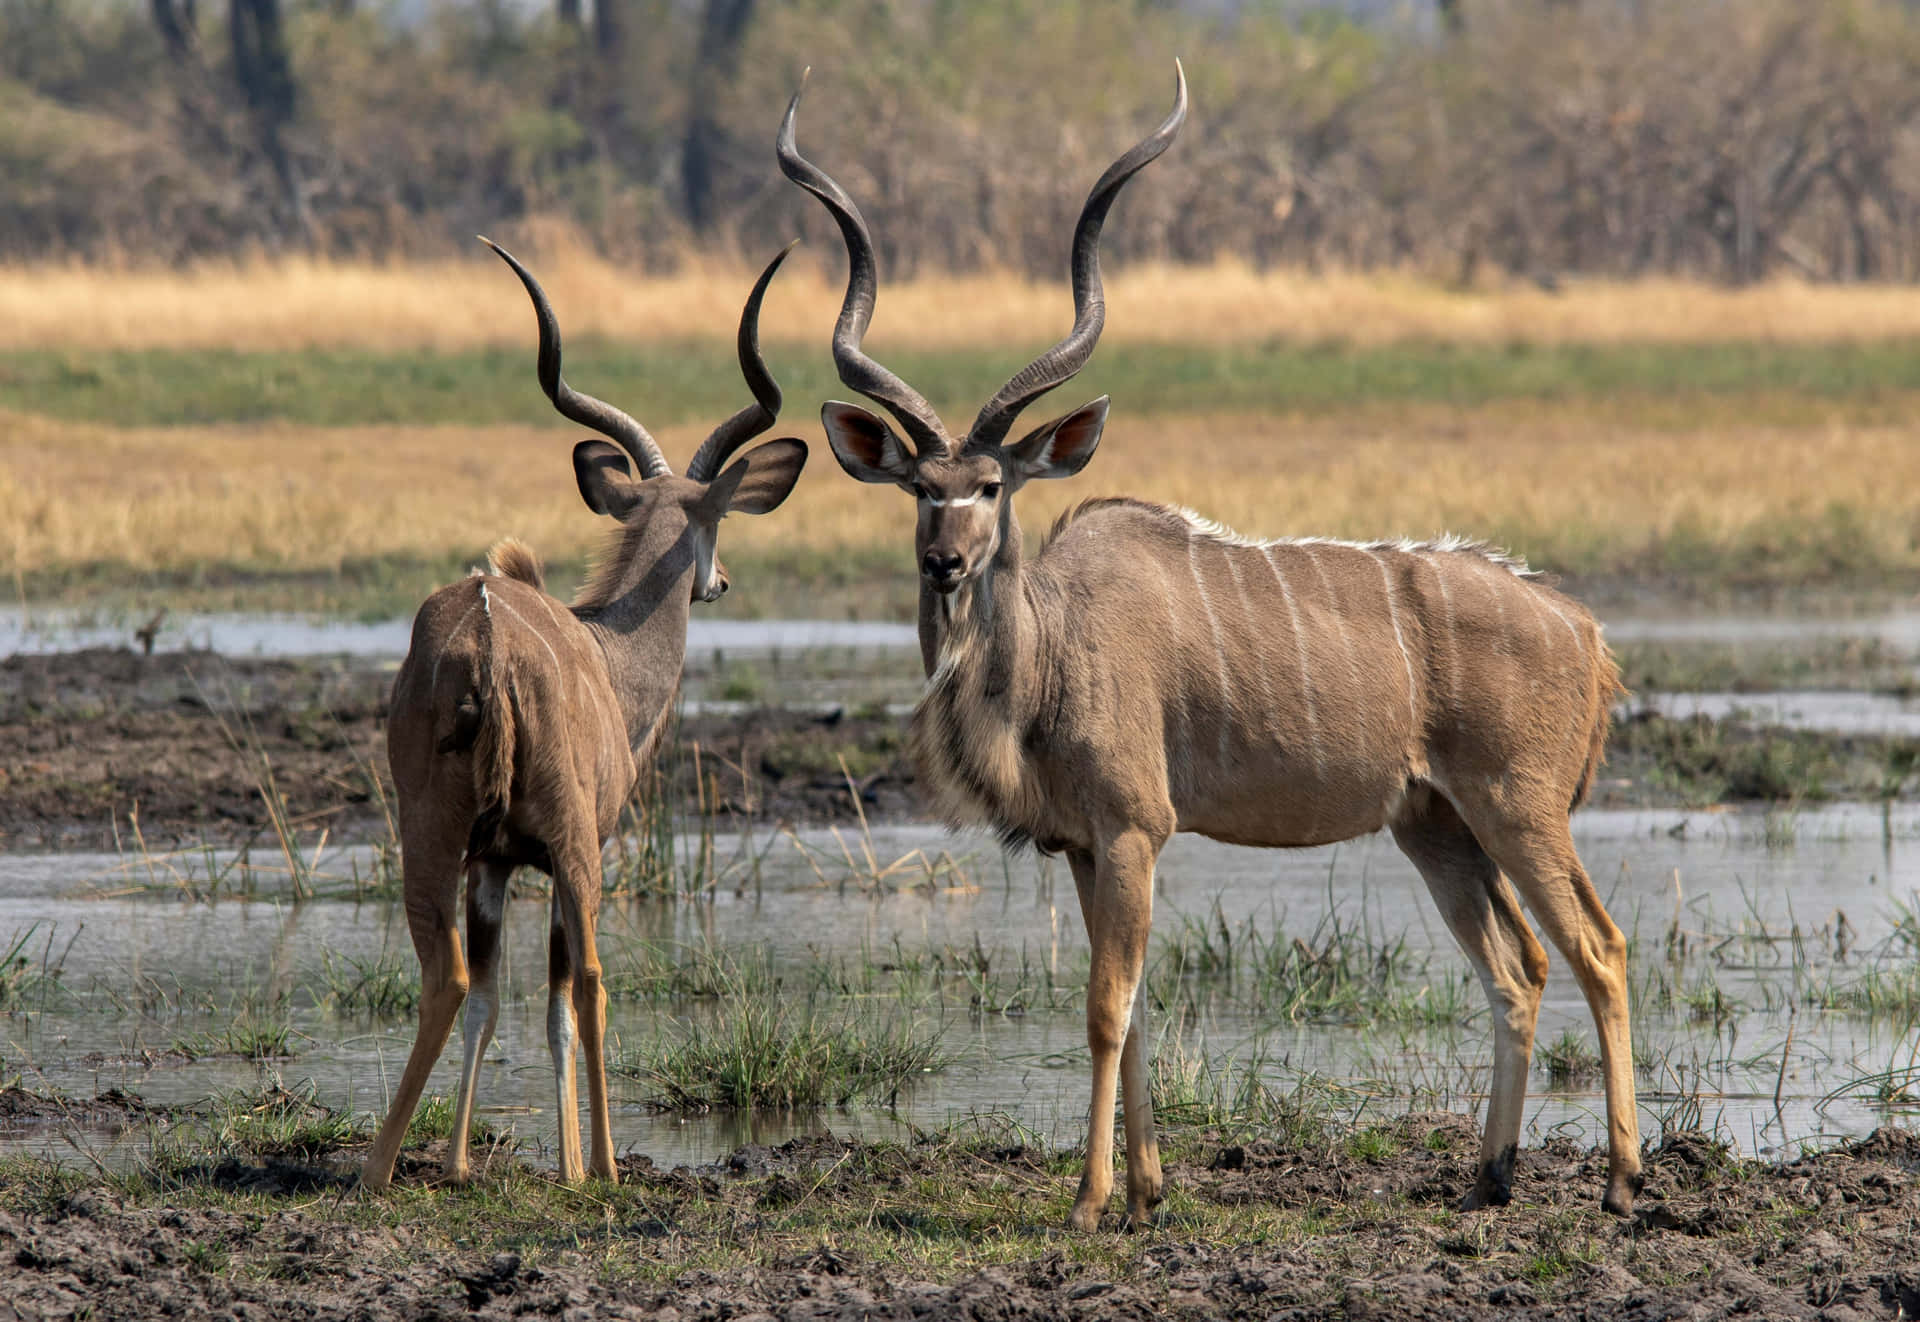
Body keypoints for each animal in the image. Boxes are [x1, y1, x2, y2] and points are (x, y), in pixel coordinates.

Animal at [359, 242, 802, 1189]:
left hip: (433, 838)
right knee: (587, 980)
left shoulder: (493, 865)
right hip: (570, 847)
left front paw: (464, 1162)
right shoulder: (575, 850)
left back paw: (384, 1165)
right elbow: (569, 996)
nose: (718, 580)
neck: (603, 650)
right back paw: (591, 1164)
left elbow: (497, 997)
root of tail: (487, 631)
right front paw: (576, 1165)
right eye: (714, 520)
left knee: (453, 980)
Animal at [771, 67, 1643, 1227]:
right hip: (1437, 825)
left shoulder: (1135, 829)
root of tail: (1582, 629)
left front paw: (1092, 1200)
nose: (946, 564)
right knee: (1521, 965)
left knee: (1598, 945)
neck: (1052, 646)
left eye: (992, 486)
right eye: (919, 487)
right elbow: (1132, 1003)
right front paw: (1146, 1191)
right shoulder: (1085, 844)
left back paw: (1624, 1180)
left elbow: (1107, 1005)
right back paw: (1488, 1176)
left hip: (1519, 806)